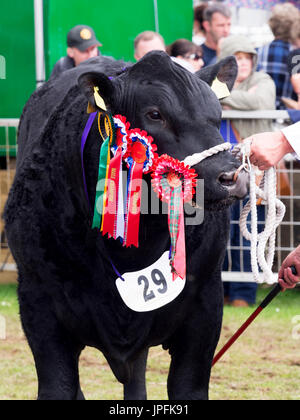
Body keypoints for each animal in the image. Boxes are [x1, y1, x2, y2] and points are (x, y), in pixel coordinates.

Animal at [4, 52, 248, 400]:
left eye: (217, 112)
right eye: (155, 114)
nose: (231, 176)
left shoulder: (206, 304)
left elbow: (187, 387)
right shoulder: (38, 304)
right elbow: (59, 387)